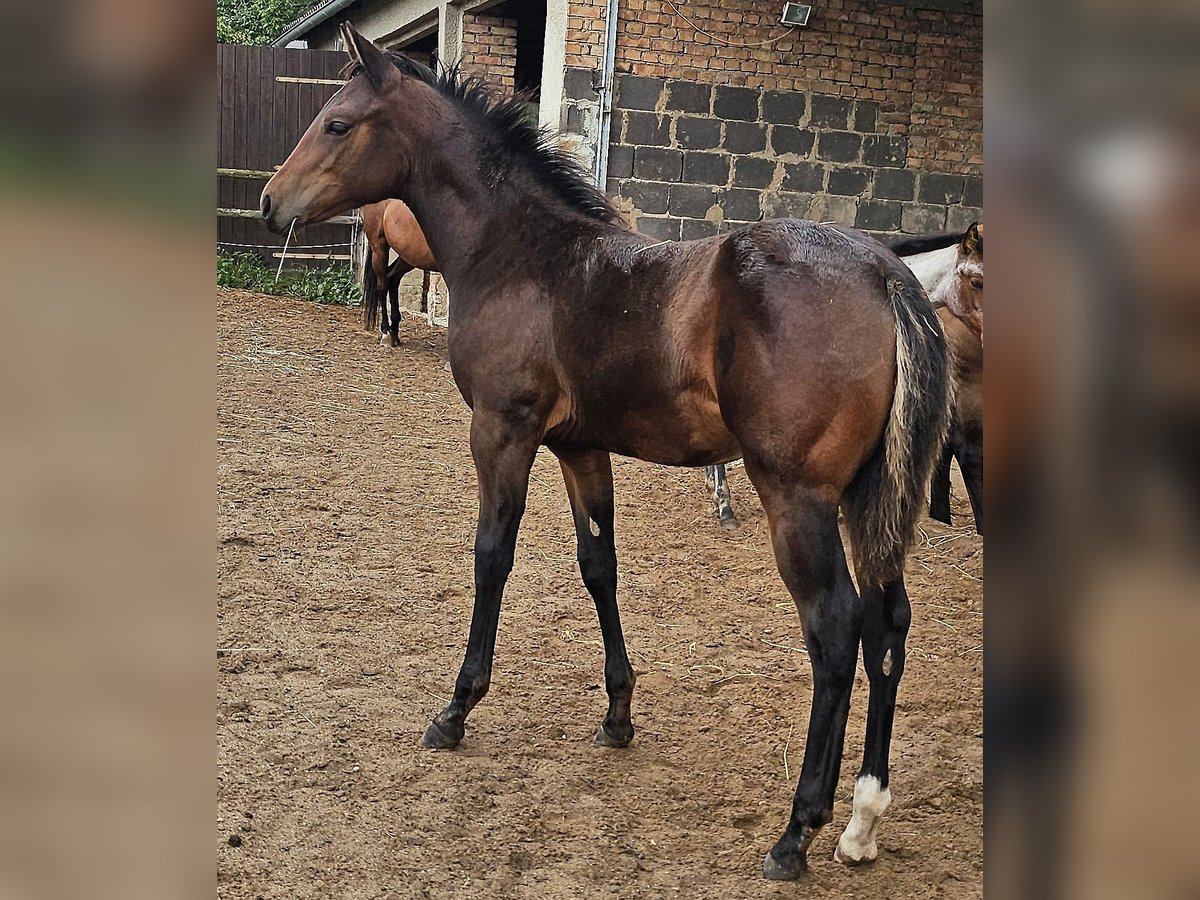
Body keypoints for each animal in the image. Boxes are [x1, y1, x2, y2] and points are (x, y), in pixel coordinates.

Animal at [361, 198, 440, 346]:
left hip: (409, 256)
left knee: (393, 279)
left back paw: (395, 333)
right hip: (379, 249)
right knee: (382, 286)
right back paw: (386, 333)